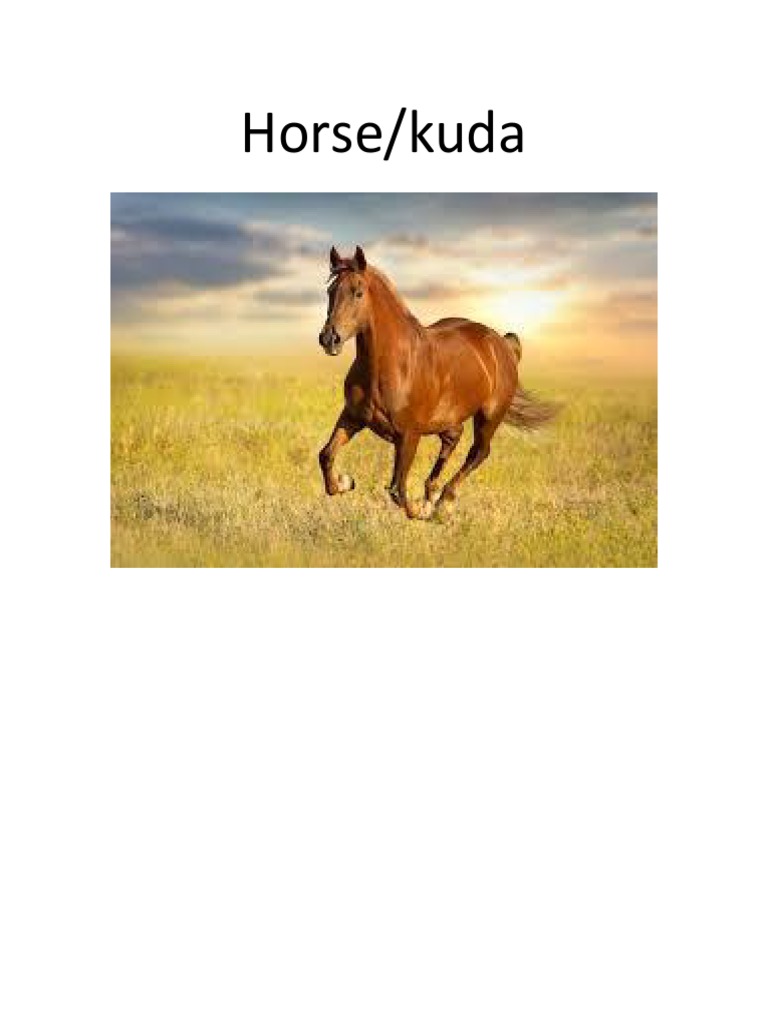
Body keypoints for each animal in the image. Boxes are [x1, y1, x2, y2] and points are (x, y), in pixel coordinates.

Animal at [317, 245, 557, 520]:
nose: (329, 339)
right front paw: (346, 482)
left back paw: (444, 501)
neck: (390, 367)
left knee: (478, 452)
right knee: (453, 439)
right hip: (449, 418)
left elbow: (397, 490)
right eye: (330, 291)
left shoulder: (408, 435)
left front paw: (421, 510)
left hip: (489, 417)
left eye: (358, 292)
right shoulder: (353, 417)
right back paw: (432, 493)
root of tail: (502, 344)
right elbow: (326, 455)